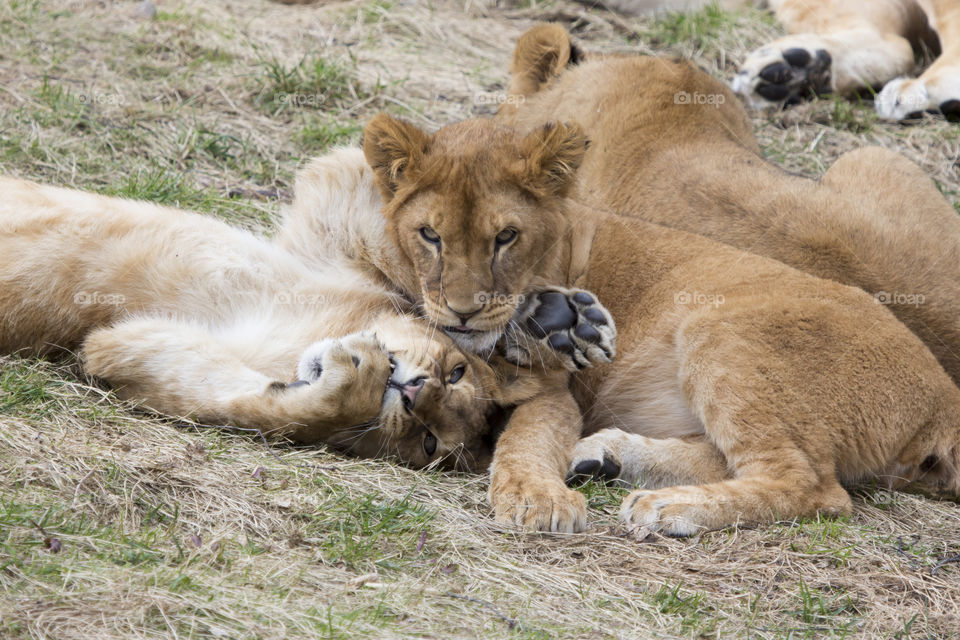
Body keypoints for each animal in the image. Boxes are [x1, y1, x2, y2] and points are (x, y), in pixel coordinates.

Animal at [0, 165, 612, 475]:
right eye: (455, 372)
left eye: (428, 442)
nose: (413, 393)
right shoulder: (332, 217)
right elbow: (409, 236)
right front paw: (551, 322)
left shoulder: (117, 345)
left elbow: (256, 407)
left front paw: (348, 384)